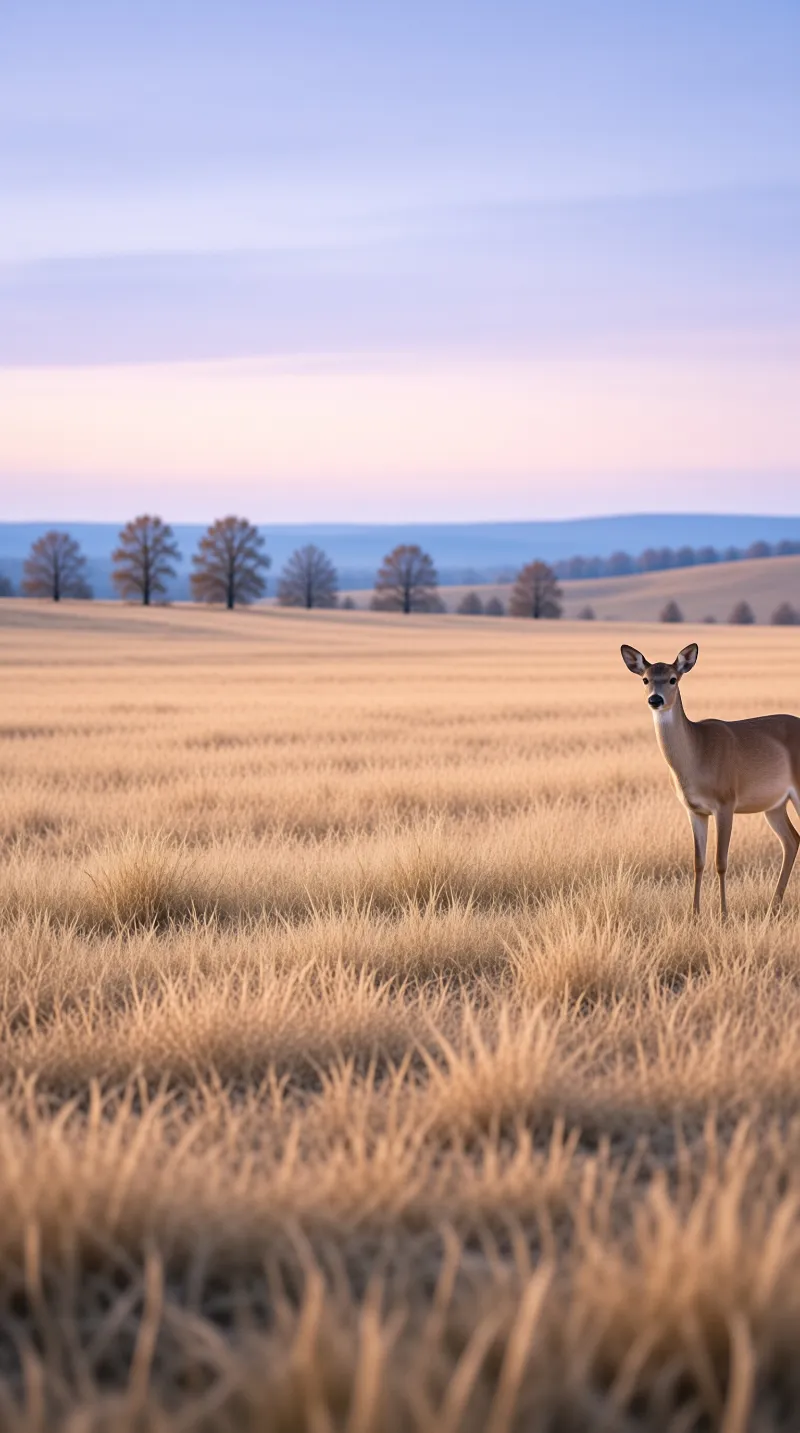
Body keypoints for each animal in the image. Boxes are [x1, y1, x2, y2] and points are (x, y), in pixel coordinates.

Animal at [620, 642, 800, 917]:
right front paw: (694, 913)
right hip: (775, 805)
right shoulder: (695, 810)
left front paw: (724, 914)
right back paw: (773, 905)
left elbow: (721, 861)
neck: (698, 755)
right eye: (645, 679)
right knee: (791, 841)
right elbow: (698, 861)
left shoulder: (725, 802)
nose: (655, 699)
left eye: (673, 679)